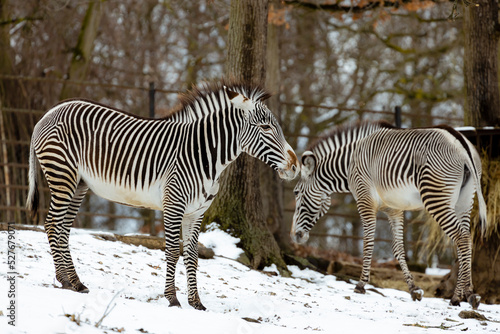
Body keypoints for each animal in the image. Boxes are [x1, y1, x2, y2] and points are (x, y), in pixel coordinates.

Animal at [26, 79, 296, 312]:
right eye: (265, 127)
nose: (295, 167)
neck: (203, 155)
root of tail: (48, 113)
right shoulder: (174, 205)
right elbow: (172, 251)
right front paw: (172, 299)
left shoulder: (196, 213)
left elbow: (193, 256)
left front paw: (196, 302)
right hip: (62, 175)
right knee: (52, 224)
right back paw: (65, 280)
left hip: (78, 184)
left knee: (63, 228)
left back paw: (74, 282)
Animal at [292, 121, 486, 310]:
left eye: (296, 193)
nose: (295, 235)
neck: (349, 164)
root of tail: (460, 141)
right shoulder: (394, 209)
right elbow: (398, 248)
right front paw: (413, 289)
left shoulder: (365, 200)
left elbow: (368, 242)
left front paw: (361, 285)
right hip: (465, 201)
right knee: (466, 238)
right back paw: (469, 294)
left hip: (435, 196)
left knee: (461, 237)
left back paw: (456, 297)